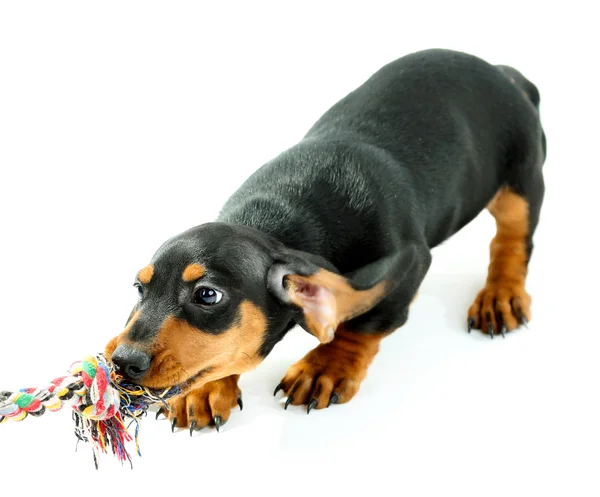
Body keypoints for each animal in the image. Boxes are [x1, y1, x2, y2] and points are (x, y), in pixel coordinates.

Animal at [105, 48, 548, 432]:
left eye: (207, 295)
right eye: (139, 288)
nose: (122, 363)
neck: (276, 219)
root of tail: (504, 73)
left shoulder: (410, 262)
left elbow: (363, 323)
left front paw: (325, 367)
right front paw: (205, 390)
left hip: (522, 178)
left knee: (513, 240)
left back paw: (500, 296)